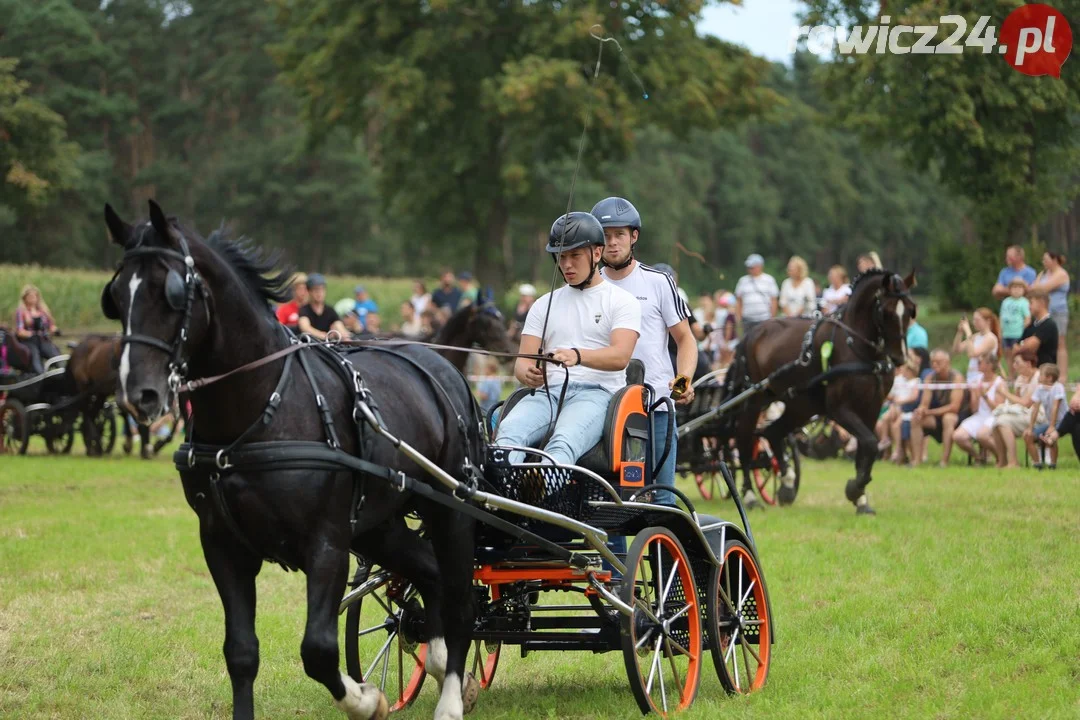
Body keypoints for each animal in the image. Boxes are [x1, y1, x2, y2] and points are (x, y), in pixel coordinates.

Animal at [103, 199, 483, 720]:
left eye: (172, 292)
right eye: (116, 296)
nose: (137, 393)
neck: (262, 408)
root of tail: (445, 367)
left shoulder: (326, 544)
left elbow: (318, 649)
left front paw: (366, 699)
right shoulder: (222, 544)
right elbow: (241, 652)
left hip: (450, 508)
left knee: (462, 597)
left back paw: (449, 699)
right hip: (376, 524)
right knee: (429, 571)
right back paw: (443, 659)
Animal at [721, 268, 915, 511]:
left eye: (910, 310)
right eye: (886, 312)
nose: (900, 358)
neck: (858, 347)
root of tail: (750, 334)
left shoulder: (872, 407)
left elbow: (866, 449)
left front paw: (861, 499)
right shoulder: (839, 409)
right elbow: (870, 443)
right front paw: (855, 489)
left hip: (802, 405)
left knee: (772, 432)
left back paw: (786, 485)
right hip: (754, 399)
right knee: (745, 440)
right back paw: (749, 496)